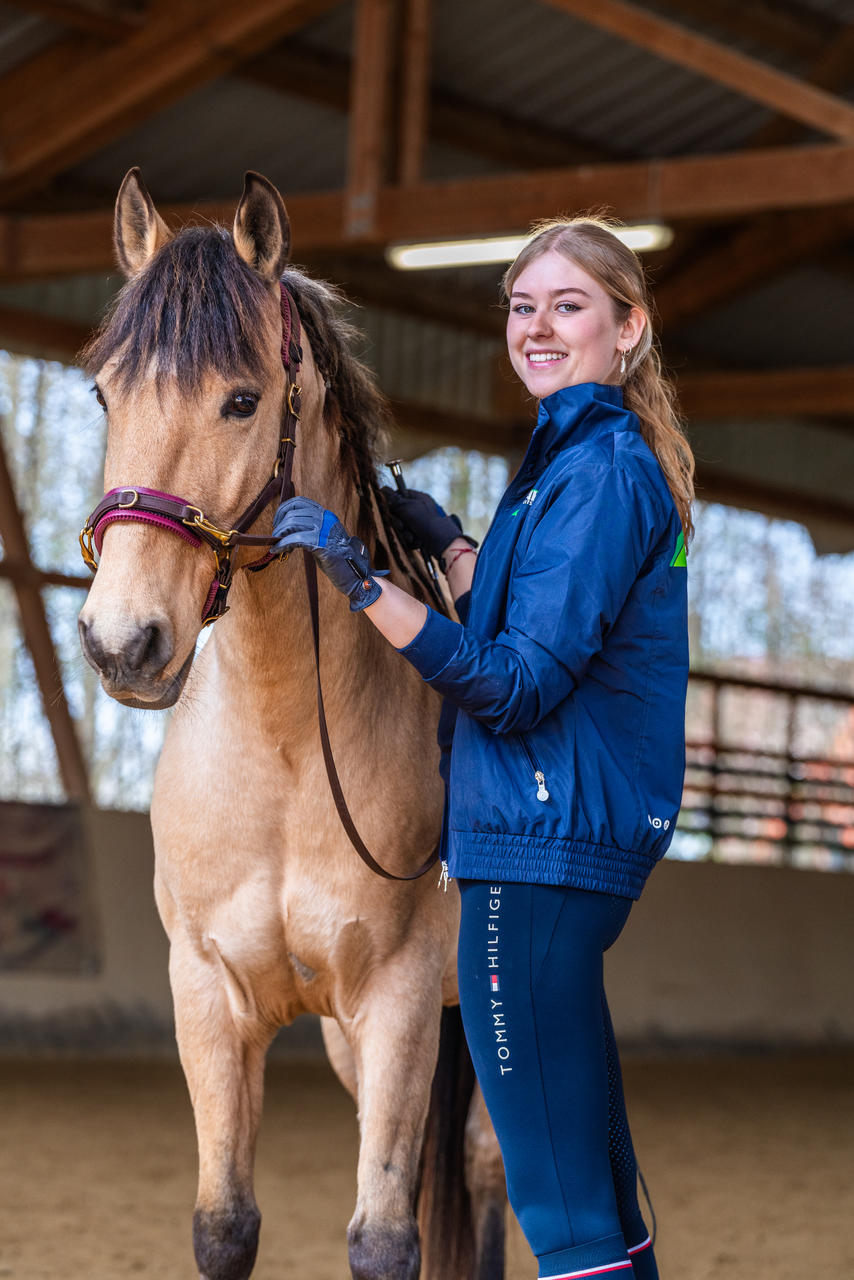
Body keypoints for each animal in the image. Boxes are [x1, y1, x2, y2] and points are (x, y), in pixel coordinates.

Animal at [76, 170, 504, 1280]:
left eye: (240, 398)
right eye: (104, 394)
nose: (121, 641)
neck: (283, 749)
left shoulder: (399, 1000)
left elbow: (384, 1238)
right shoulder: (210, 999)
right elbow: (226, 1224)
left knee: (490, 1167)